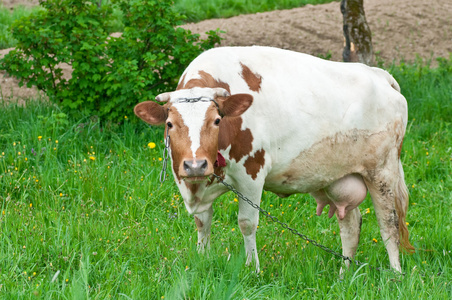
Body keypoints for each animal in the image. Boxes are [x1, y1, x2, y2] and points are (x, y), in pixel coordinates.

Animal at [133, 46, 414, 272]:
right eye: (169, 124)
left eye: (216, 120)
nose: (195, 165)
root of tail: (379, 74)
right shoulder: (190, 182)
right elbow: (202, 221)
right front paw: (201, 259)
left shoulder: (251, 174)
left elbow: (247, 223)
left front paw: (253, 268)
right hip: (339, 177)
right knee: (351, 227)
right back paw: (344, 276)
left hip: (382, 171)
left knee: (389, 225)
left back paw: (395, 274)